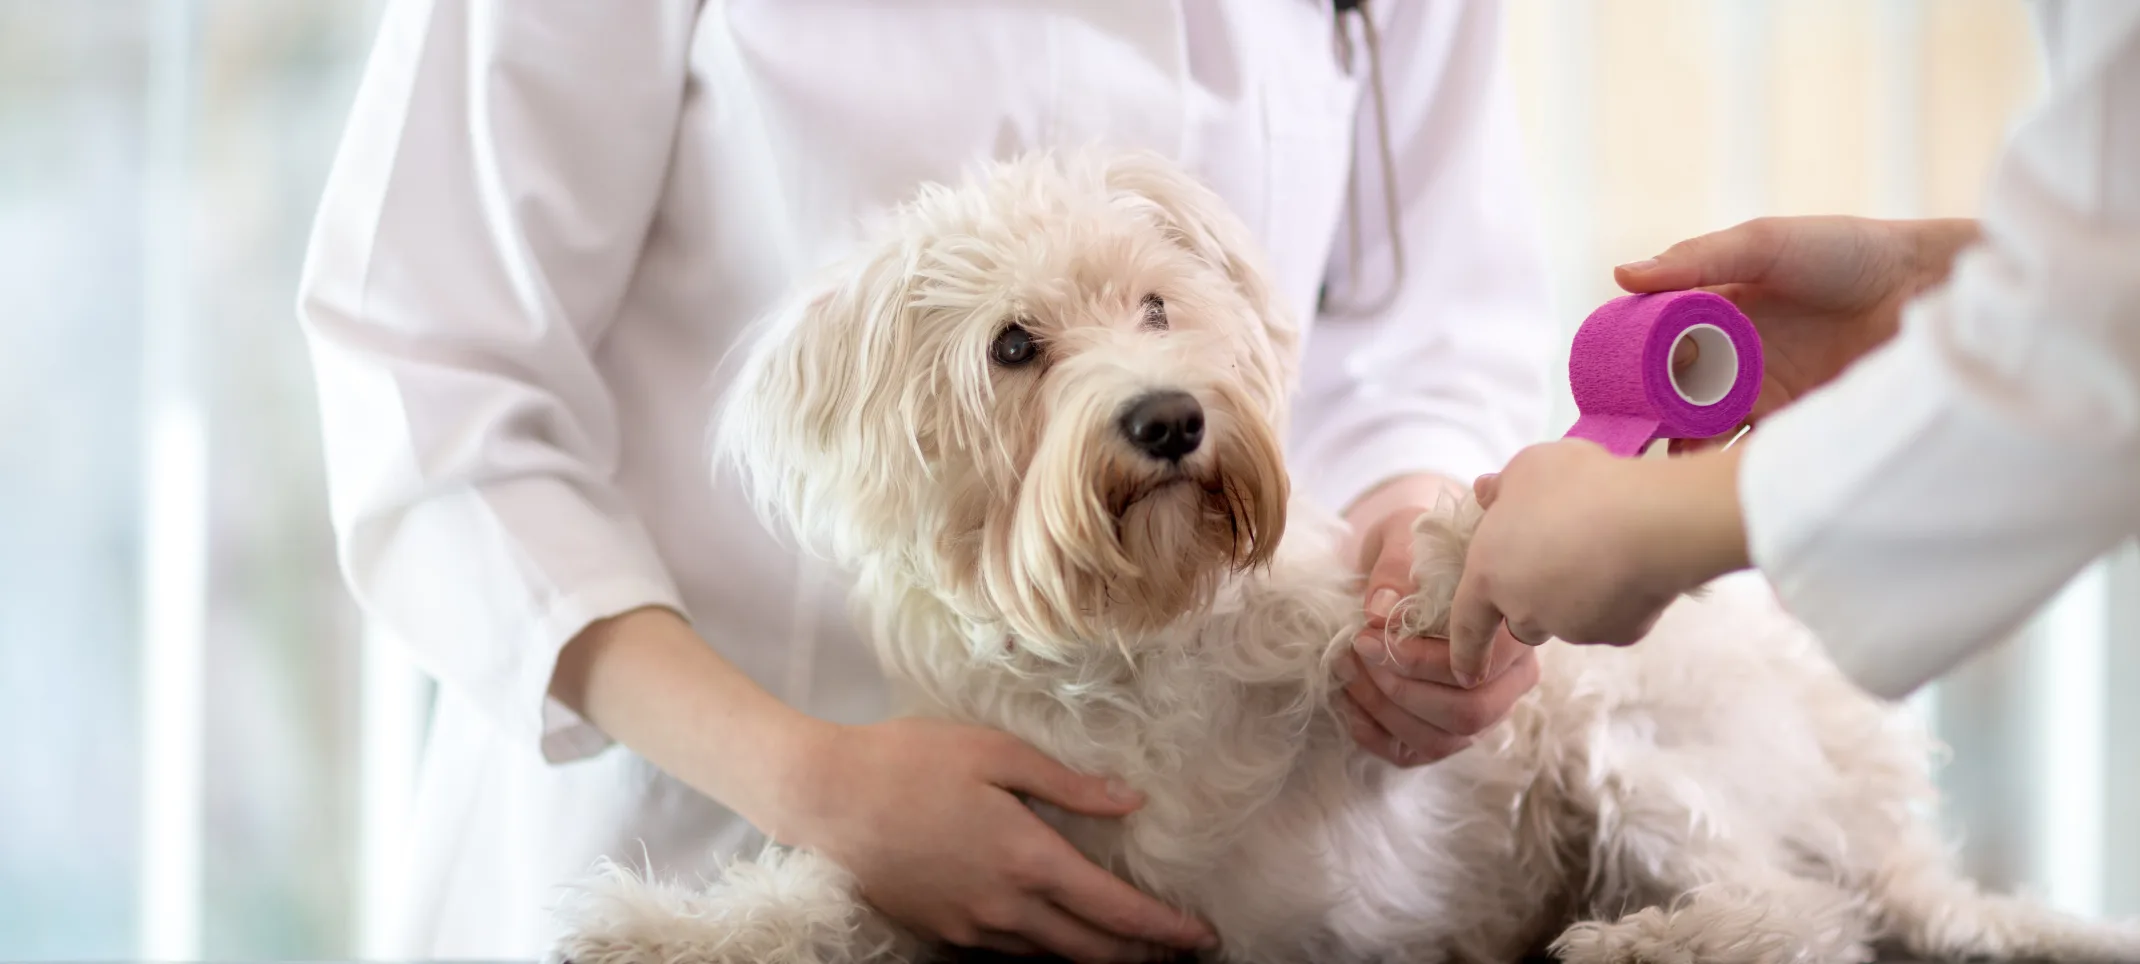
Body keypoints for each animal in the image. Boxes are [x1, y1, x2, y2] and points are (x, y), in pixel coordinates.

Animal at [556, 152, 2140, 964]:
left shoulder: (1407, 746)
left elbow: (1391, 651)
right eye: (1014, 346)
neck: (1138, 637)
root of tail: (1887, 821)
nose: (1169, 418)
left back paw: (1639, 938)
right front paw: (661, 923)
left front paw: (1454, 553)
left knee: (1802, 910)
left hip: (1638, 740)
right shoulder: (998, 852)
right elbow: (838, 898)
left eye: (1155, 306)